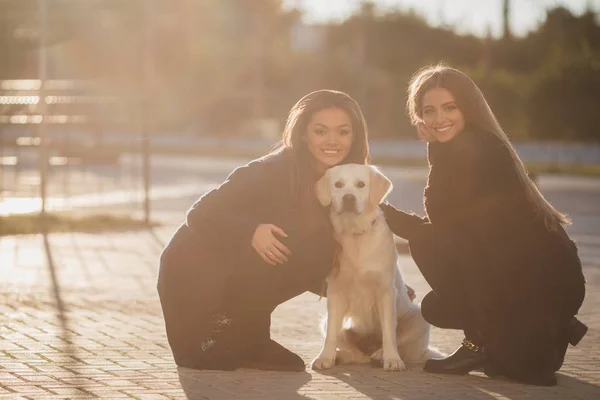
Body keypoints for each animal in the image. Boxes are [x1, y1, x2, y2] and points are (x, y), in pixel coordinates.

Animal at [310, 164, 440, 370]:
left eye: (361, 184)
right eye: (338, 185)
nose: (348, 198)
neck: (355, 233)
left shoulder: (385, 291)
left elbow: (389, 333)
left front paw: (392, 359)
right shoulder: (336, 291)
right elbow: (331, 334)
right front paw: (325, 357)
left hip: (419, 317)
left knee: (400, 343)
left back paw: (380, 355)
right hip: (327, 321)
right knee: (355, 353)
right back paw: (343, 356)